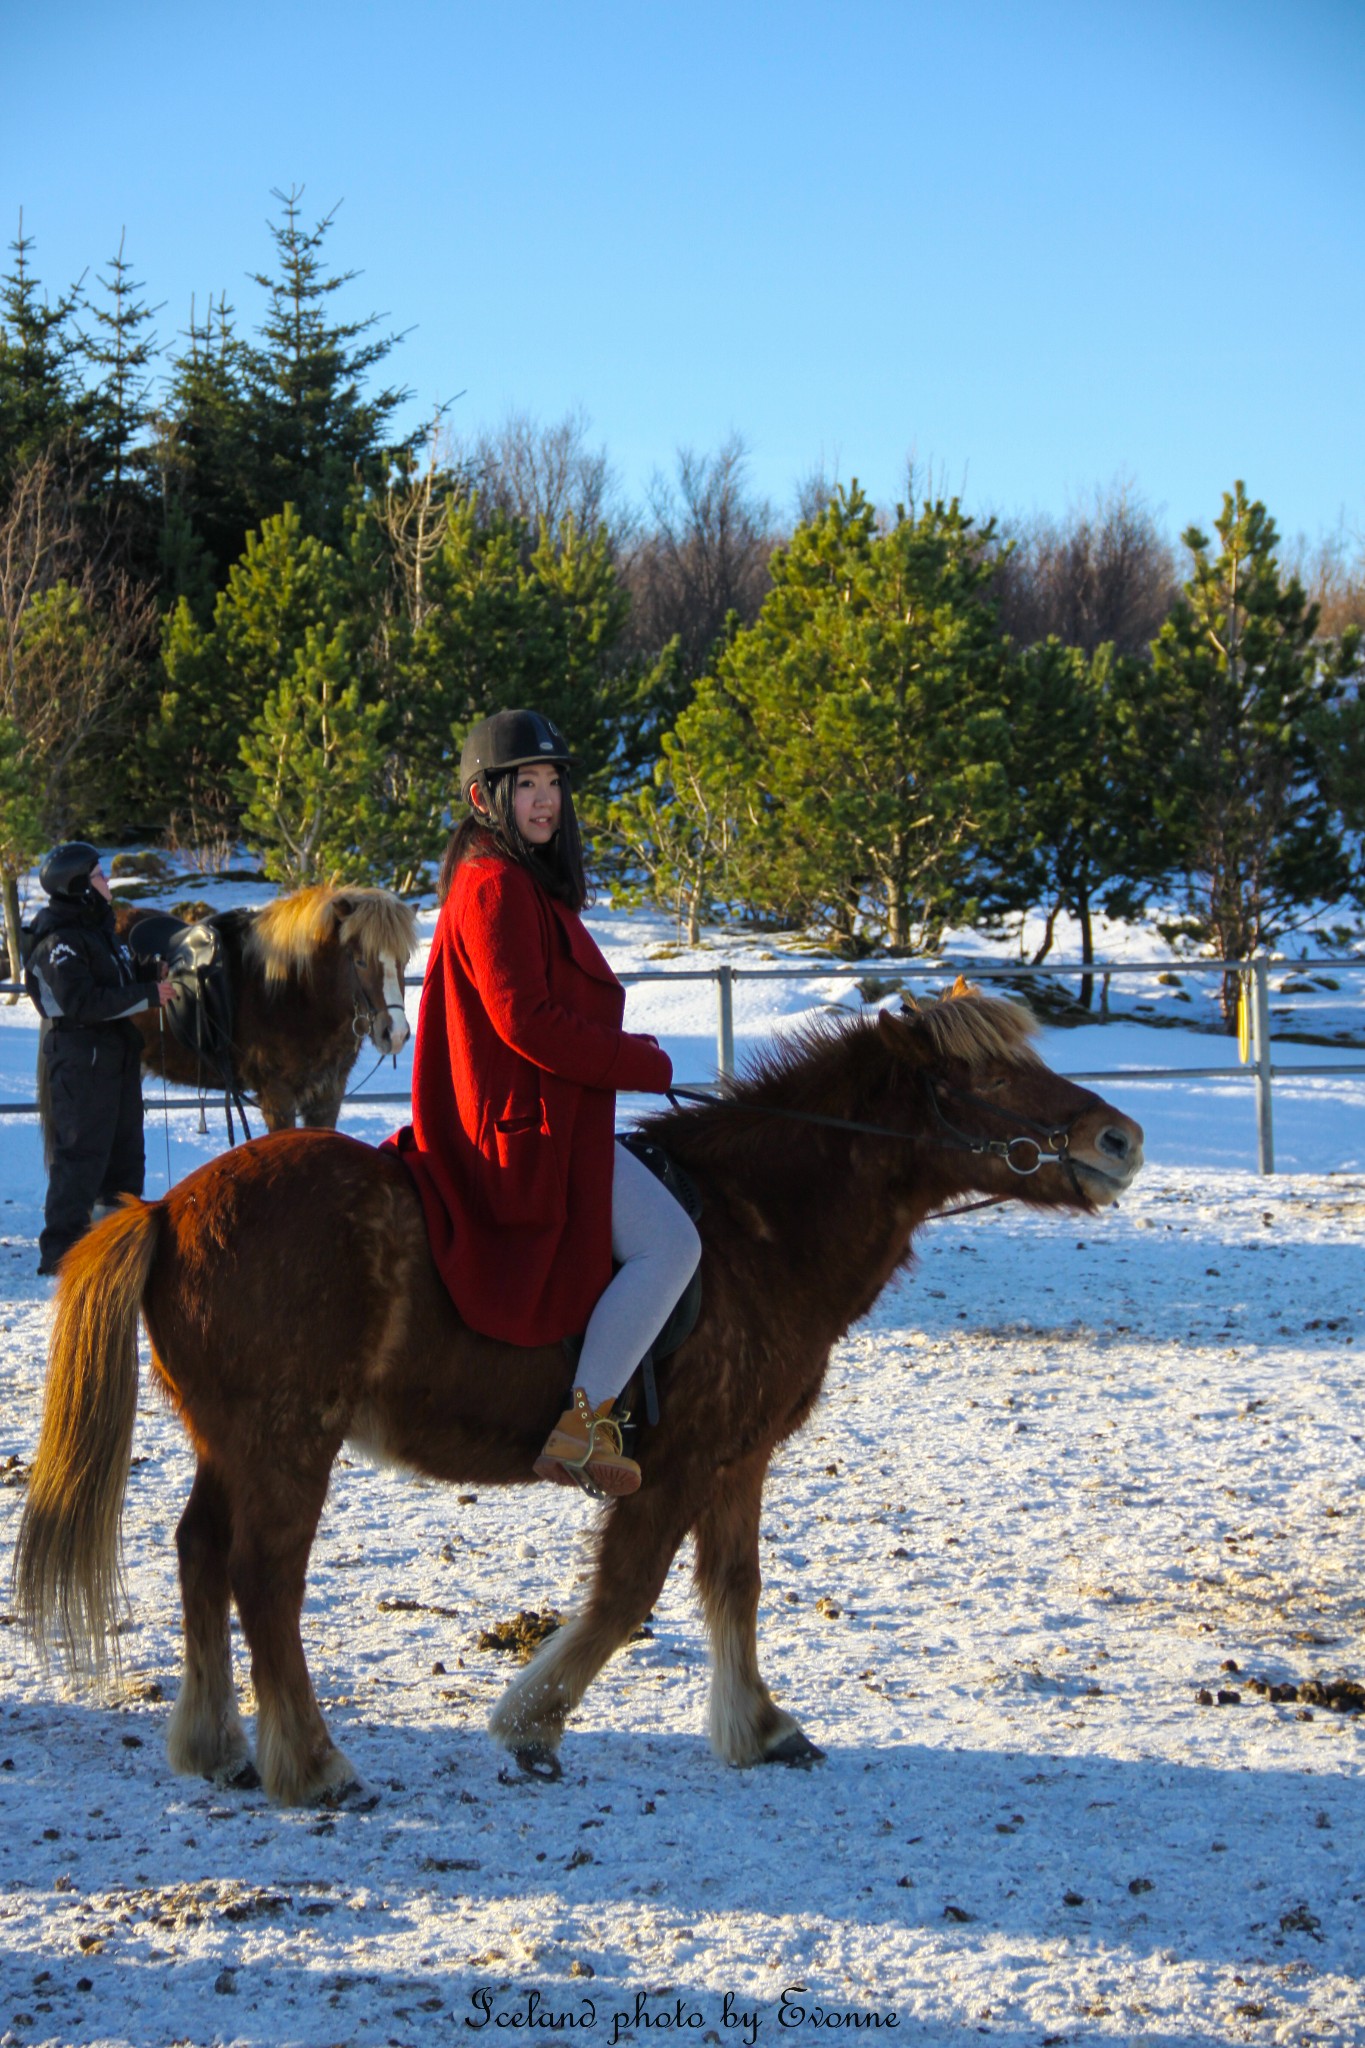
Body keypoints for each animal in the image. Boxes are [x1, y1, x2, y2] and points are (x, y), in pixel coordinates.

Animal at [13, 983, 1146, 1802]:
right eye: (988, 1073)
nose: (1120, 1139)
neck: (758, 1221)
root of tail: (168, 1206)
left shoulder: (740, 1454)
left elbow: (734, 1584)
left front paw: (760, 1725)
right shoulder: (677, 1460)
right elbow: (625, 1594)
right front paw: (531, 1723)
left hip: (233, 1441)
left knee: (201, 1554)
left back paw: (218, 1748)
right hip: (291, 1441)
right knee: (264, 1579)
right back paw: (316, 1765)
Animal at [116, 884, 417, 1138]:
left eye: (404, 959)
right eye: (360, 961)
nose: (395, 1033)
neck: (294, 993)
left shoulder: (328, 1095)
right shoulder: (277, 1096)